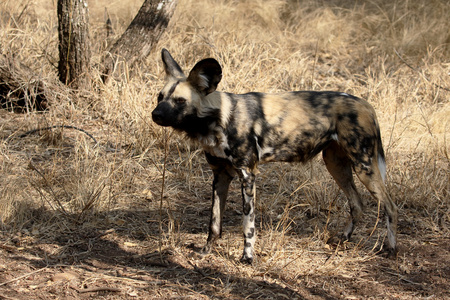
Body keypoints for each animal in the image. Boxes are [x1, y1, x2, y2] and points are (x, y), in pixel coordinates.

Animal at [153, 48, 400, 264]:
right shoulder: (220, 176)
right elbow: (214, 223)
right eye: (159, 97)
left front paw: (247, 258)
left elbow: (248, 225)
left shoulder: (248, 175)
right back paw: (343, 239)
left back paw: (391, 249)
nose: (155, 114)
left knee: (390, 206)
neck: (219, 118)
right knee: (357, 203)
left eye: (180, 101)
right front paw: (206, 251)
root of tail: (366, 104)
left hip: (364, 166)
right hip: (335, 165)